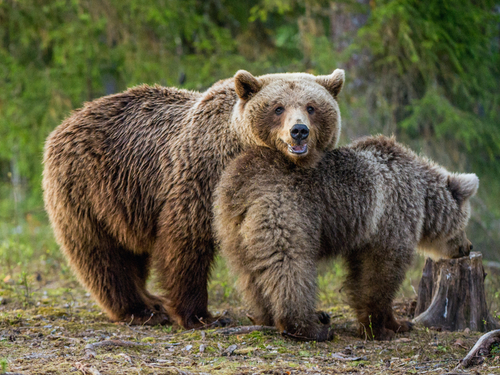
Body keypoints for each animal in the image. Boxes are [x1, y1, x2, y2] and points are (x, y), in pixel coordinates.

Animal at [43, 69, 344, 328]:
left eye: (311, 107)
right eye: (278, 107)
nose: (299, 131)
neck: (239, 150)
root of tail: (67, 121)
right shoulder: (201, 179)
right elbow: (186, 243)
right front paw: (201, 316)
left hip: (129, 203)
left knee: (133, 253)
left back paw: (151, 300)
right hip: (89, 188)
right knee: (102, 254)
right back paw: (140, 309)